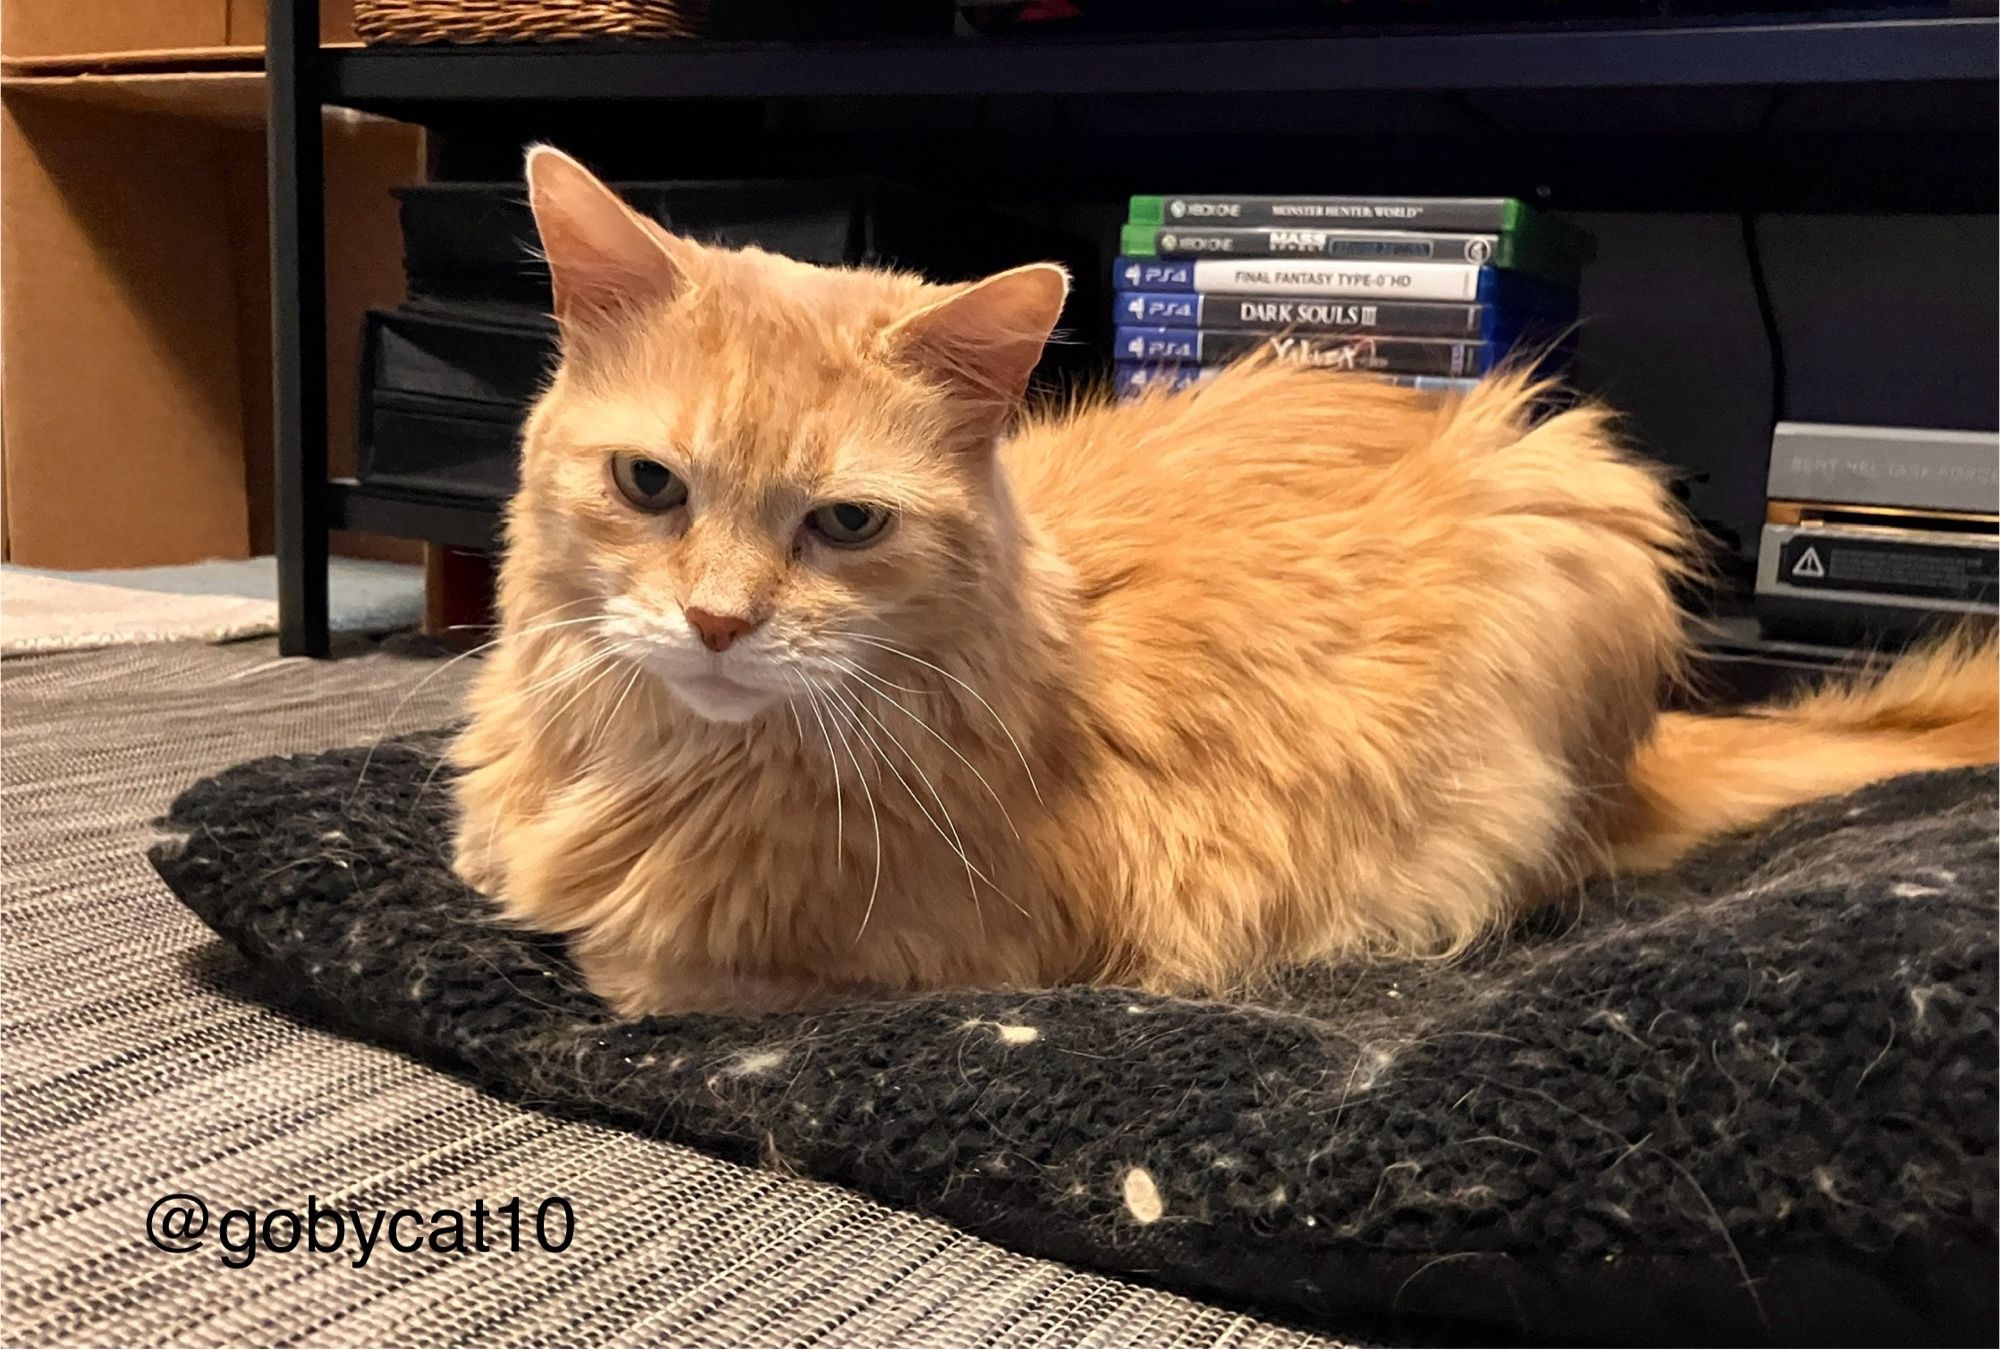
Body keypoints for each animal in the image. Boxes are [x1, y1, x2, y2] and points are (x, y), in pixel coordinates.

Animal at [454, 148, 2000, 1016]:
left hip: (1573, 518)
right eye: (651, 486)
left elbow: (639, 968)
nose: (718, 622)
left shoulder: (962, 944)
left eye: (843, 523)